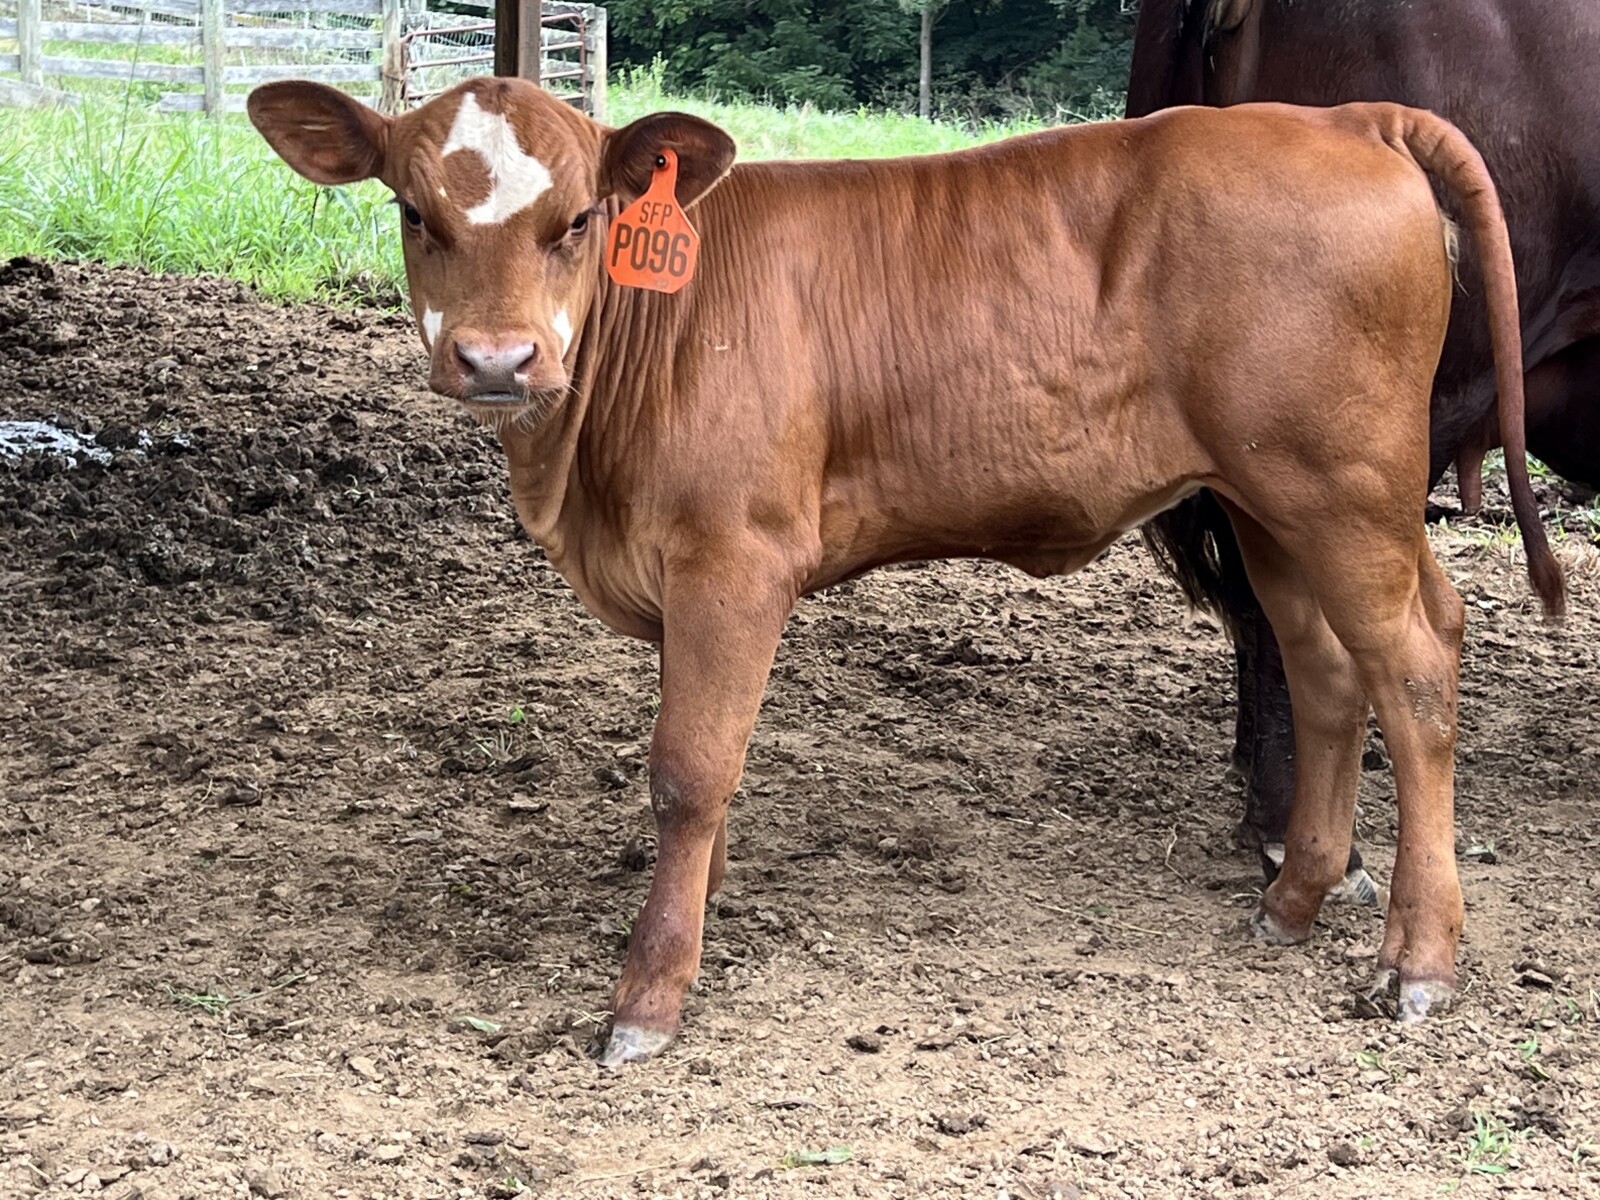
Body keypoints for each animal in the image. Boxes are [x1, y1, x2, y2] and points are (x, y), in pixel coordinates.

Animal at [248, 76, 1562, 1064]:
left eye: (577, 219)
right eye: (414, 213)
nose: (497, 360)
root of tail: (1338, 116)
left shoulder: (733, 558)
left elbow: (686, 773)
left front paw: (649, 994)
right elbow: (710, 776)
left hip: (1347, 493)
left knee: (1418, 665)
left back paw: (1417, 960)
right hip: (1266, 505)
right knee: (1327, 672)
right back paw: (1292, 903)